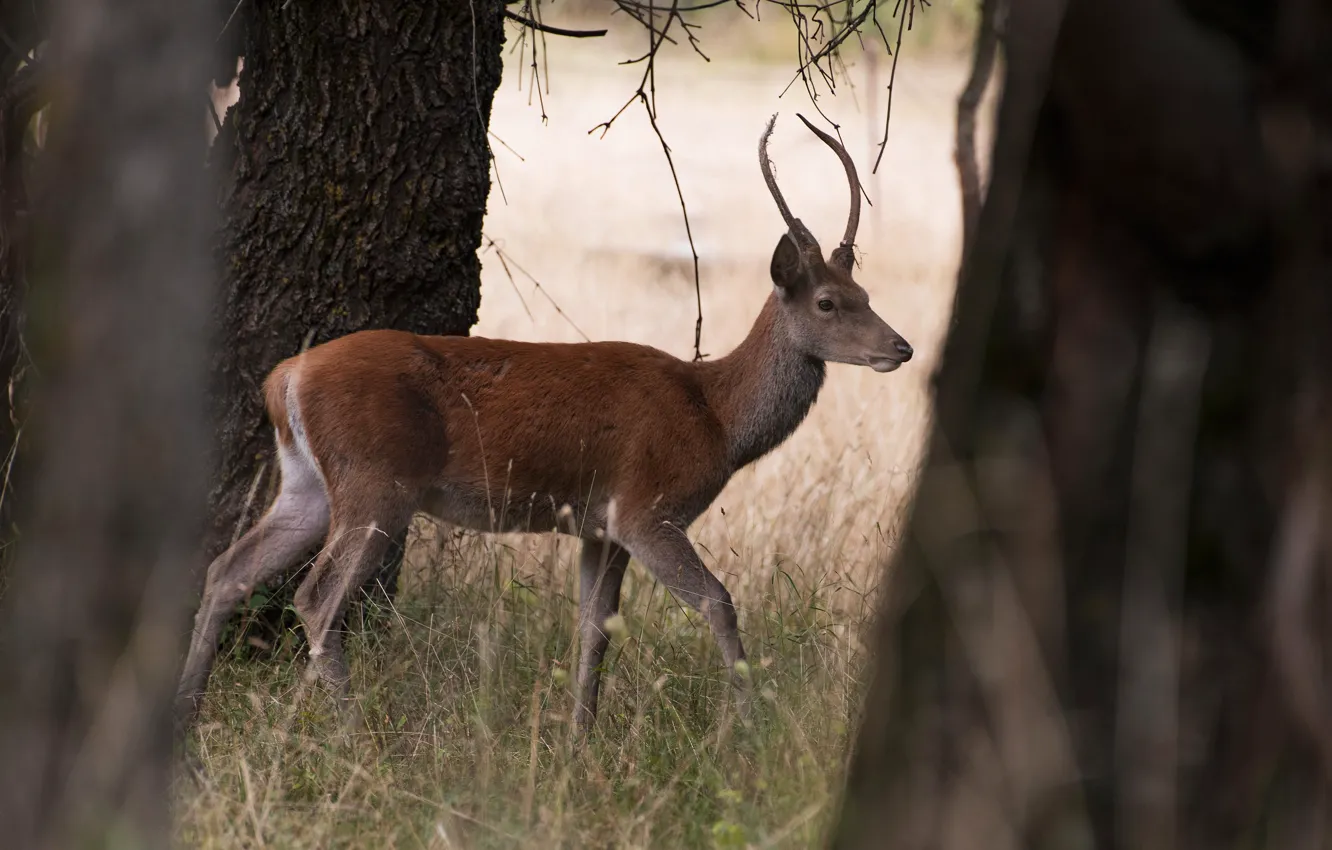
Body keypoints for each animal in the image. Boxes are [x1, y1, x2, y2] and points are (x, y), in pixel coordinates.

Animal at [175, 113, 913, 736]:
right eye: (828, 301)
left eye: (867, 294)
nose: (901, 346)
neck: (714, 414)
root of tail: (284, 378)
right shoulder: (647, 508)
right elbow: (718, 602)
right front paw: (747, 734)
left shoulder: (599, 526)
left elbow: (594, 628)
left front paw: (577, 742)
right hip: (375, 481)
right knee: (317, 596)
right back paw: (353, 735)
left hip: (308, 482)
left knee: (228, 569)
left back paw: (188, 713)